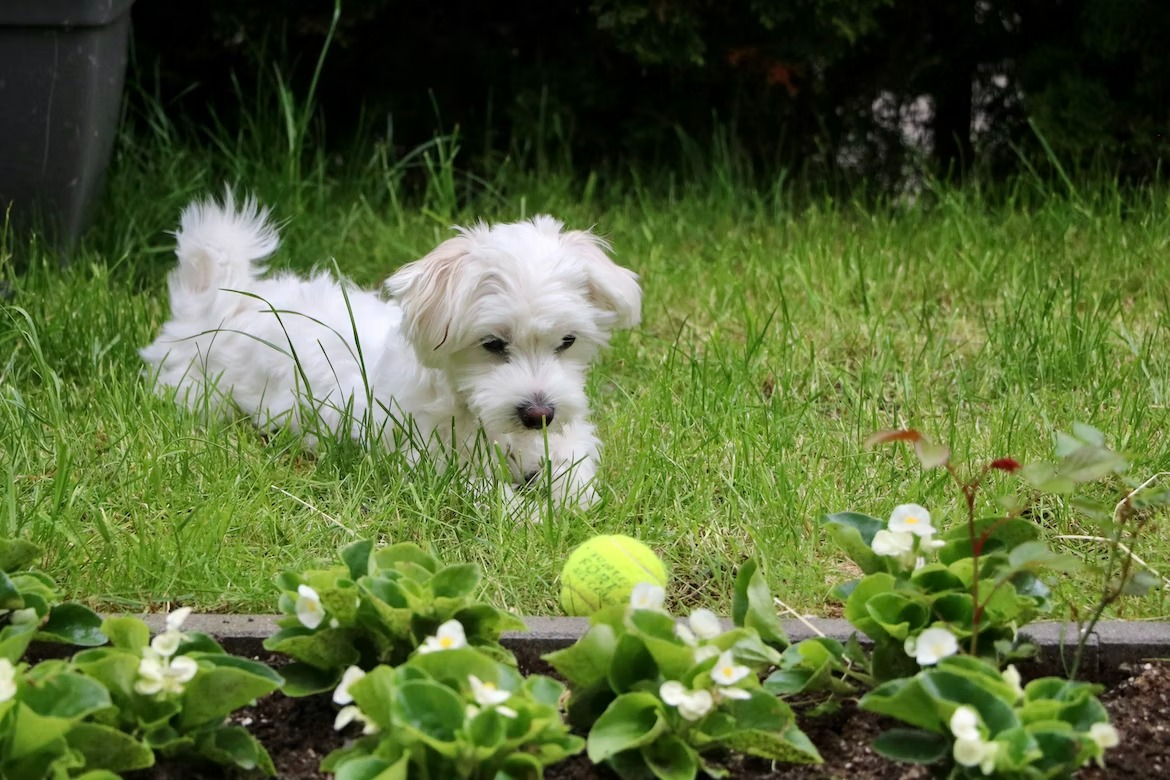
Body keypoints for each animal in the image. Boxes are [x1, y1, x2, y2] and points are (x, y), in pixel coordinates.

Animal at [143, 194, 650, 509]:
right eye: (492, 344)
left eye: (567, 342)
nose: (538, 414)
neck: (475, 414)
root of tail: (221, 299)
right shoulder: (435, 465)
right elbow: (486, 494)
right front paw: (531, 516)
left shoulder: (563, 436)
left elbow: (573, 461)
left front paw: (573, 499)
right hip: (197, 389)